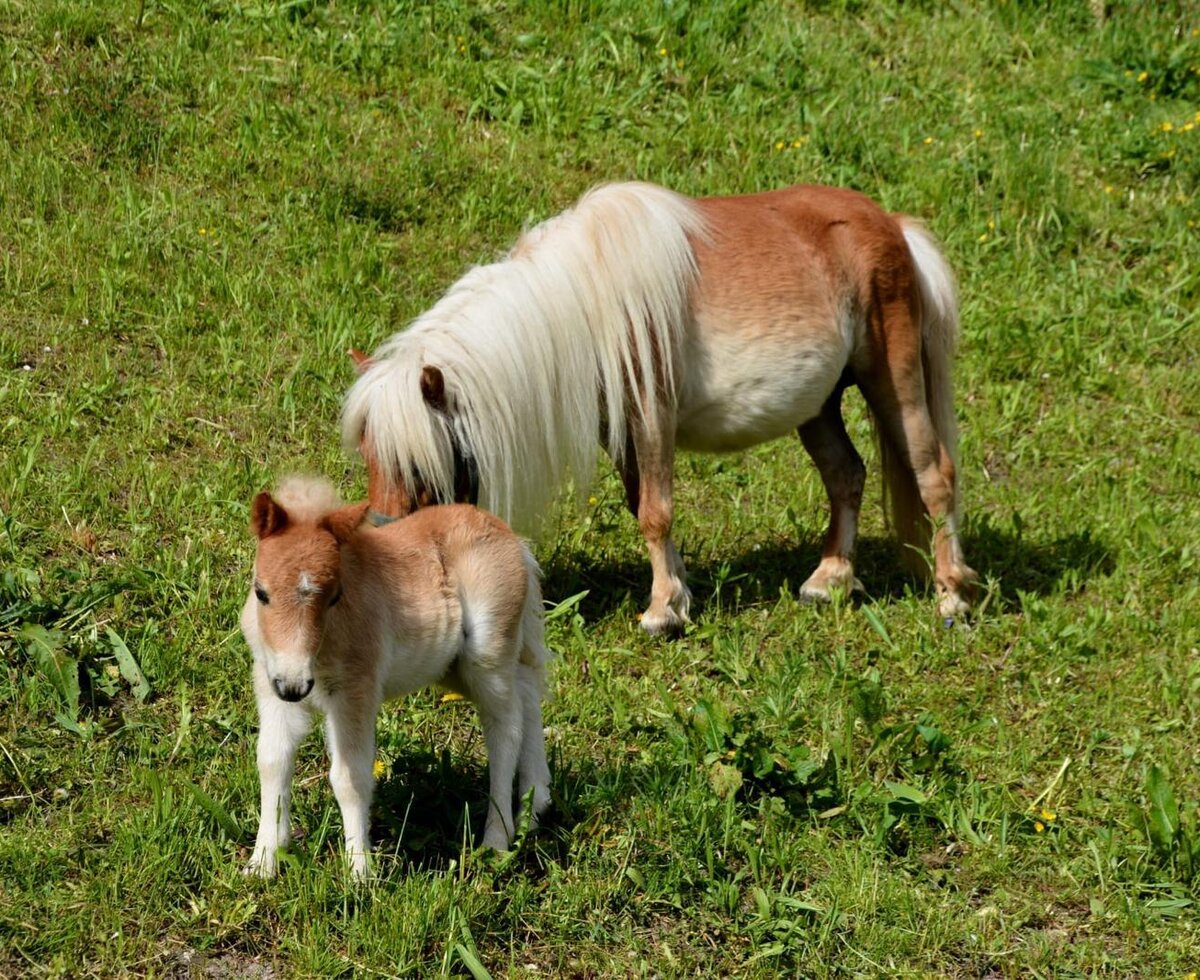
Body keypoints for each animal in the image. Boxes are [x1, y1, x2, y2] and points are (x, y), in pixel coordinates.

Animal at [240, 476, 551, 878]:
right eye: (261, 592)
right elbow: (272, 762)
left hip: (487, 655)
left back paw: (496, 840)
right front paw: (262, 862)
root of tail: (513, 539)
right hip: (459, 667)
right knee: (528, 694)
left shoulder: (355, 690)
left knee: (506, 727)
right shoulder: (272, 686)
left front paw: (360, 871)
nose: (295, 686)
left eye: (335, 596)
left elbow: (350, 777)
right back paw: (535, 804)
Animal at [342, 181, 976, 635]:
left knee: (935, 474)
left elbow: (655, 511)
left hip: (893, 381)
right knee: (846, 474)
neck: (585, 304)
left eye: (419, 464)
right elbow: (641, 506)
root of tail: (894, 226)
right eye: (370, 457)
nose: (388, 547)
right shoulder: (620, 432)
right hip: (817, 405)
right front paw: (679, 590)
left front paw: (660, 613)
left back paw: (951, 597)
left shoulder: (652, 418)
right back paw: (830, 579)